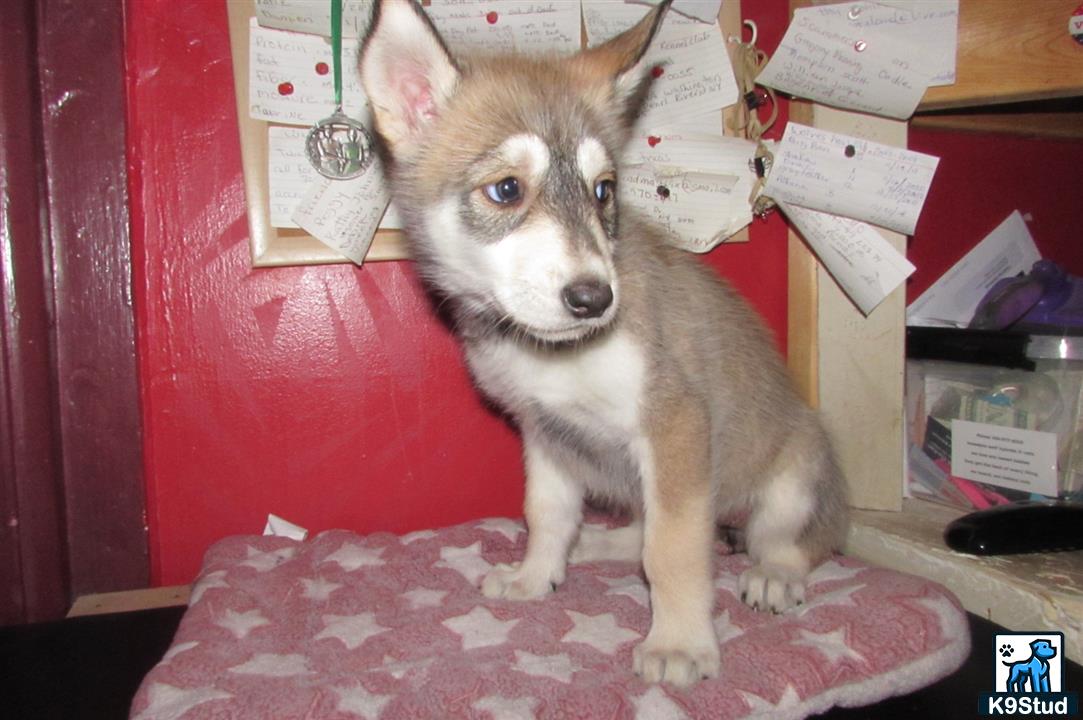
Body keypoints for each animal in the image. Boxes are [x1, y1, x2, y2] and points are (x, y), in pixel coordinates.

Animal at [359, 0, 849, 684]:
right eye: (506, 189)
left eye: (603, 191)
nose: (595, 300)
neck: (550, 355)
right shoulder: (545, 433)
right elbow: (547, 512)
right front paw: (537, 574)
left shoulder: (675, 427)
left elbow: (673, 549)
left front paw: (679, 643)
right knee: (652, 530)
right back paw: (593, 542)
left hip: (798, 468)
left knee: (789, 539)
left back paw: (775, 573)